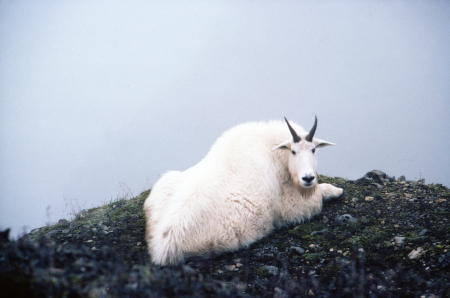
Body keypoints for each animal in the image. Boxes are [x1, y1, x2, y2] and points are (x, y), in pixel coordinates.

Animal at [142, 116, 342, 266]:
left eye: (313, 149)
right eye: (293, 151)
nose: (308, 178)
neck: (274, 152)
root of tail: (164, 245)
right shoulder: (288, 209)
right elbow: (317, 197)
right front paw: (337, 190)